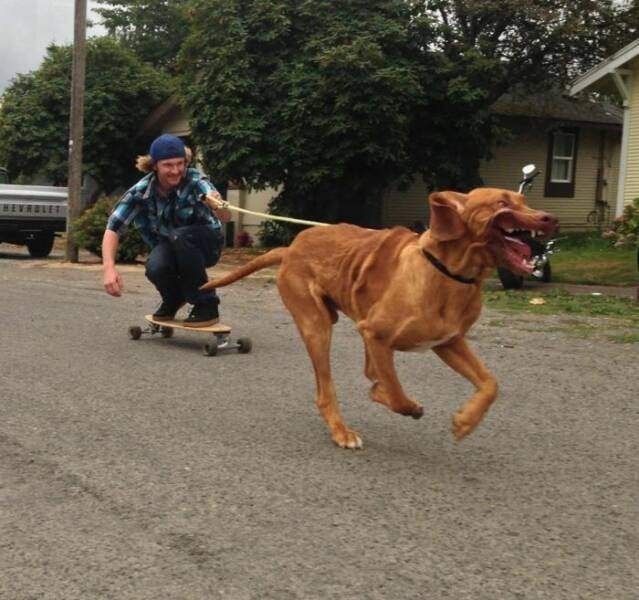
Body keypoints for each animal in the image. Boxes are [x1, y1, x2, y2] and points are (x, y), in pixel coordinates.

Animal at [202, 190, 556, 448]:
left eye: (523, 199)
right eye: (502, 202)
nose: (549, 218)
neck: (449, 274)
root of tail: (290, 248)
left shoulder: (449, 342)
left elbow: (490, 384)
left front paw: (466, 422)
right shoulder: (375, 334)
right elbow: (396, 393)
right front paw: (405, 404)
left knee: (371, 371)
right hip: (317, 326)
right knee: (327, 390)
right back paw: (341, 431)